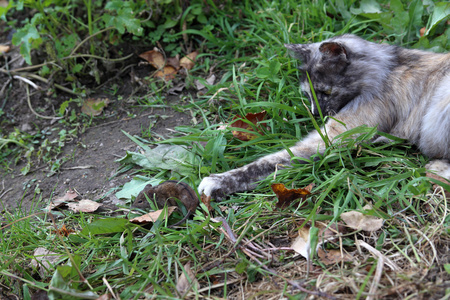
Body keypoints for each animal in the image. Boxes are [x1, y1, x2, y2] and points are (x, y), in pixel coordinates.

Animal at [199, 34, 450, 199]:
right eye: (308, 94)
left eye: (325, 92)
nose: (315, 113)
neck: (385, 69)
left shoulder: (331, 138)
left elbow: (266, 163)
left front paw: (218, 181)